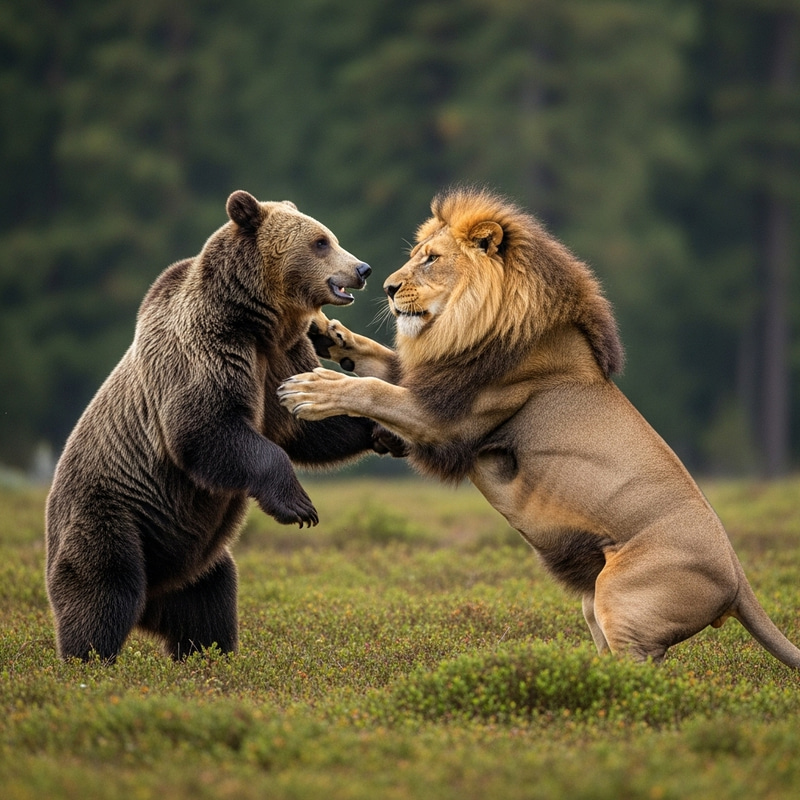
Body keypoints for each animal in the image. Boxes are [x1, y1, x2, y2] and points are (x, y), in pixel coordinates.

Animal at [45, 190, 388, 662]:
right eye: (320, 241)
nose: (362, 269)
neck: (259, 321)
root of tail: (156, 592)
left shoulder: (279, 357)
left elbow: (306, 426)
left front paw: (381, 428)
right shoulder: (210, 350)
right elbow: (207, 428)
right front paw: (300, 507)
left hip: (196, 562)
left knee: (209, 603)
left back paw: (208, 654)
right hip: (111, 513)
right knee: (103, 589)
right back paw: (90, 660)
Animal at [278, 186, 800, 668]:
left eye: (431, 259)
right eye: (416, 255)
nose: (385, 286)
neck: (469, 324)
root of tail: (738, 580)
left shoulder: (443, 418)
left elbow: (373, 389)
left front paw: (314, 388)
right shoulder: (435, 381)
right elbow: (380, 362)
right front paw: (329, 334)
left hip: (622, 597)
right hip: (595, 603)